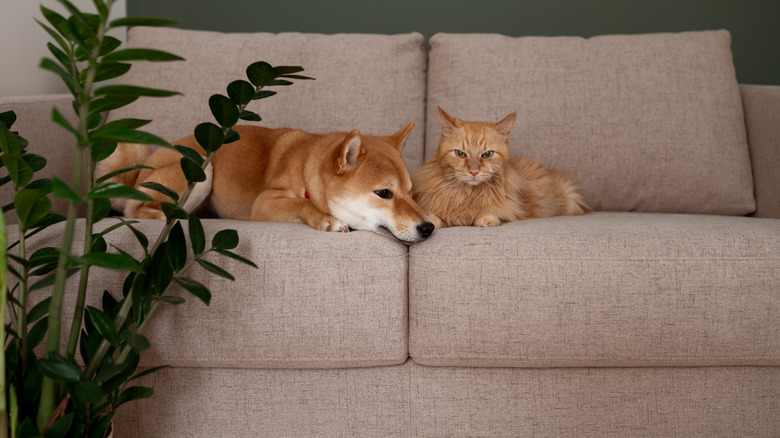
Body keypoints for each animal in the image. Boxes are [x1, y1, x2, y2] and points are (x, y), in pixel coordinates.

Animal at [95, 123, 436, 243]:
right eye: (384, 193)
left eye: (410, 192)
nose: (427, 228)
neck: (307, 171)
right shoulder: (264, 203)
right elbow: (301, 204)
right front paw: (326, 218)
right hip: (202, 172)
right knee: (137, 210)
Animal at [414, 108, 584, 228]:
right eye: (460, 154)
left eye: (487, 154)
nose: (474, 172)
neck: (468, 195)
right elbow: (437, 218)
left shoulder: (512, 208)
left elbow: (494, 213)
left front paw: (485, 218)